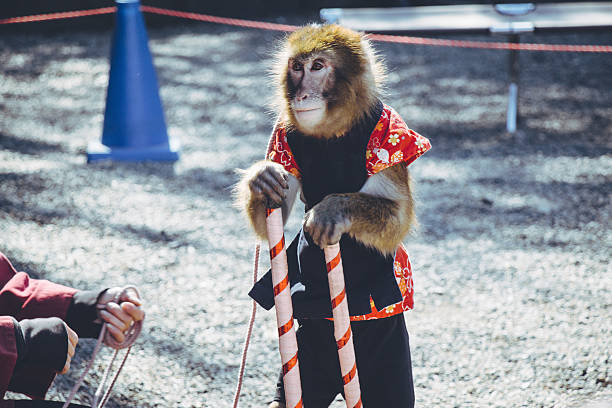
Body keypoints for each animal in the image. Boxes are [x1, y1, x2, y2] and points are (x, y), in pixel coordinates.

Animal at [234, 23, 430, 406]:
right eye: (297, 67)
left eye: (318, 67)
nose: (302, 94)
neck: (334, 130)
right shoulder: (282, 134)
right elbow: (276, 206)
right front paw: (261, 180)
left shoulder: (391, 132)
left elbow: (397, 218)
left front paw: (332, 209)